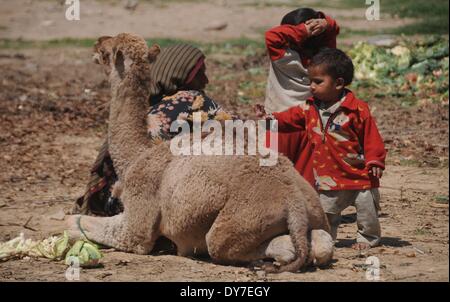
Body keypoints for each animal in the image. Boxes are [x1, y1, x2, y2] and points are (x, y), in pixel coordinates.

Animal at [67, 33, 334, 274]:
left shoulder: (137, 223)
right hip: (315, 216)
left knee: (254, 247)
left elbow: (75, 223)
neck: (136, 157)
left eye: (107, 51)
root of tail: (294, 202)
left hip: (235, 225)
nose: (97, 43)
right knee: (321, 245)